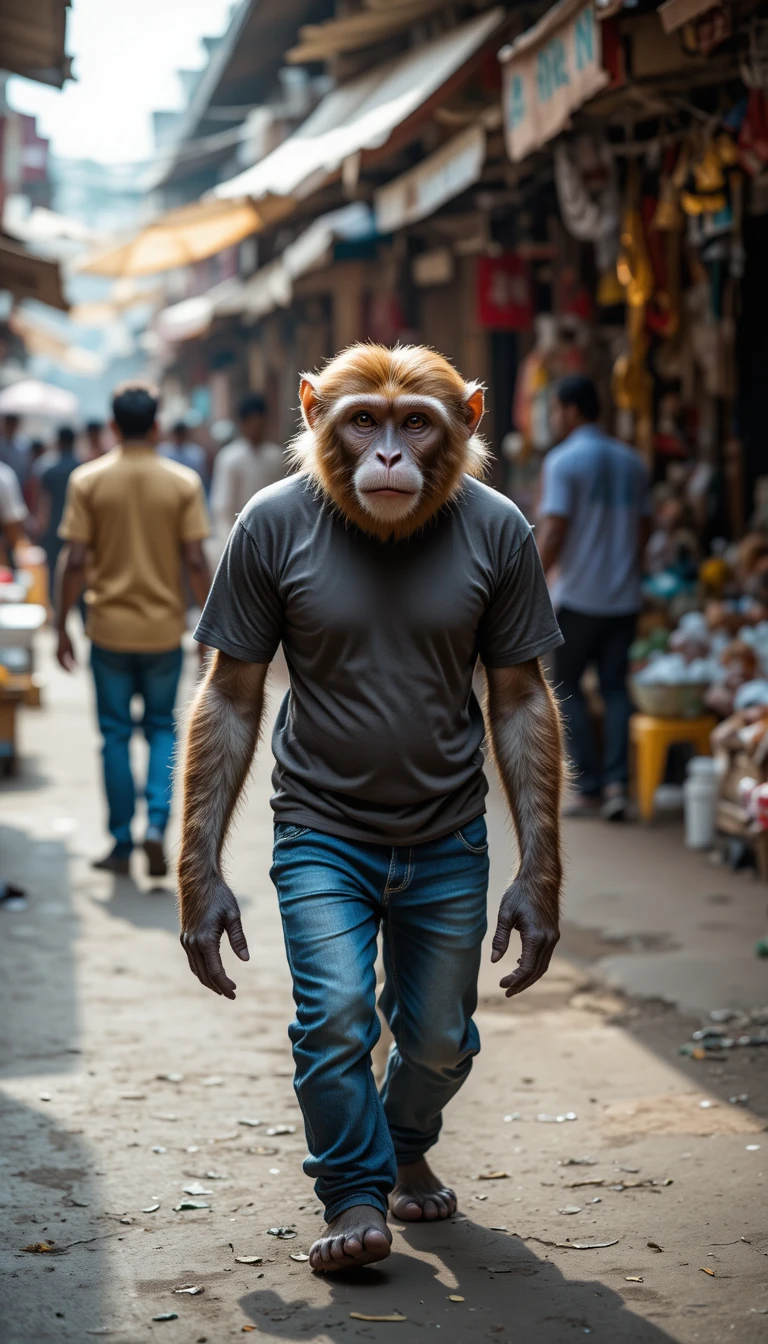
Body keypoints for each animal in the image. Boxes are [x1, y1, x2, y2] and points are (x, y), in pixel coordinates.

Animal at [178, 342, 565, 1275]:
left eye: (415, 422)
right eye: (363, 420)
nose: (387, 453)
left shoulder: (518, 548)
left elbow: (518, 697)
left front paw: (534, 906)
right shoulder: (247, 545)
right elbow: (234, 695)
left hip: (445, 888)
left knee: (433, 1029)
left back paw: (410, 1169)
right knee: (357, 1017)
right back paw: (361, 1207)